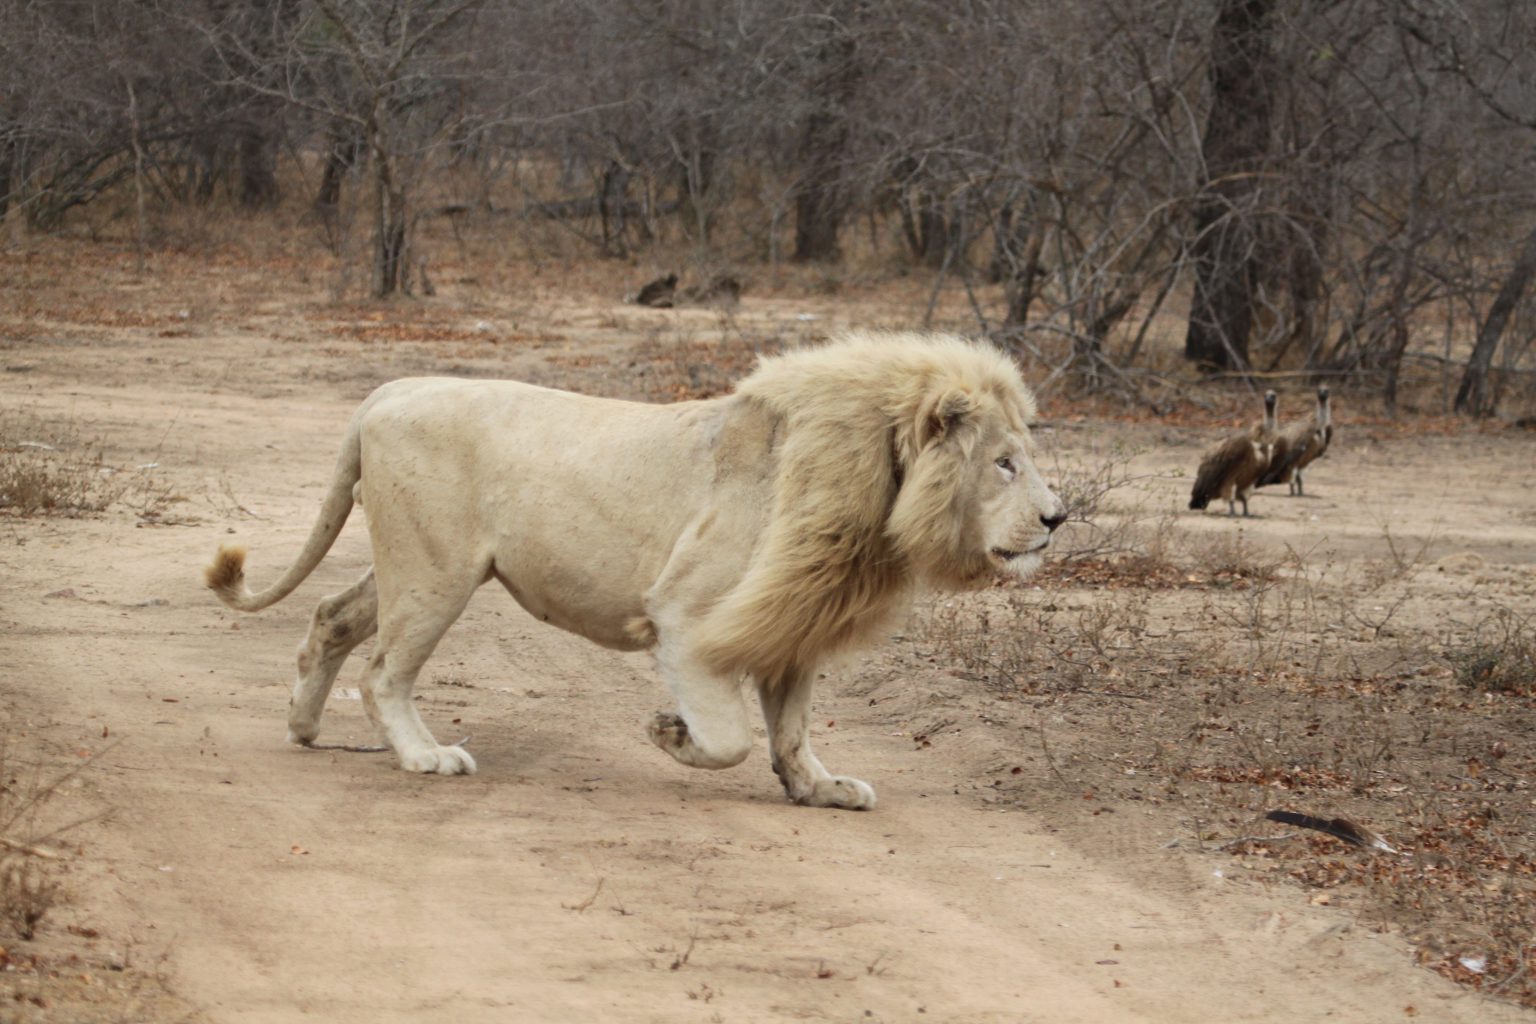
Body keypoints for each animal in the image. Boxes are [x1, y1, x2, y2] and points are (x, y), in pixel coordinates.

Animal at [204, 330, 1062, 810]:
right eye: (1005, 463)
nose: (1058, 520)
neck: (877, 487)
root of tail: (388, 389)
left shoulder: (793, 621)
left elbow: (791, 730)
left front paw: (819, 788)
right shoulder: (690, 612)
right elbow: (732, 737)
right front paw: (669, 733)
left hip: (411, 565)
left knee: (330, 619)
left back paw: (304, 726)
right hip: (436, 571)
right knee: (383, 667)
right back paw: (423, 755)